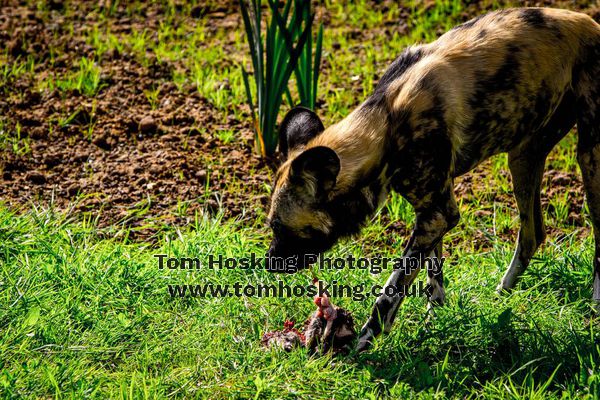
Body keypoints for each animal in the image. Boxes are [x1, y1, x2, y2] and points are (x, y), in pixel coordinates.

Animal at [266, 7, 600, 352]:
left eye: (280, 227)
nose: (269, 263)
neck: (384, 128)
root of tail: (591, 23)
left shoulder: (438, 213)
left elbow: (391, 290)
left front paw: (366, 342)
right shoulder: (432, 212)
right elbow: (433, 275)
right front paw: (436, 320)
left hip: (590, 160)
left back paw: (595, 308)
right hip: (522, 157)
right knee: (533, 233)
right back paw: (502, 294)